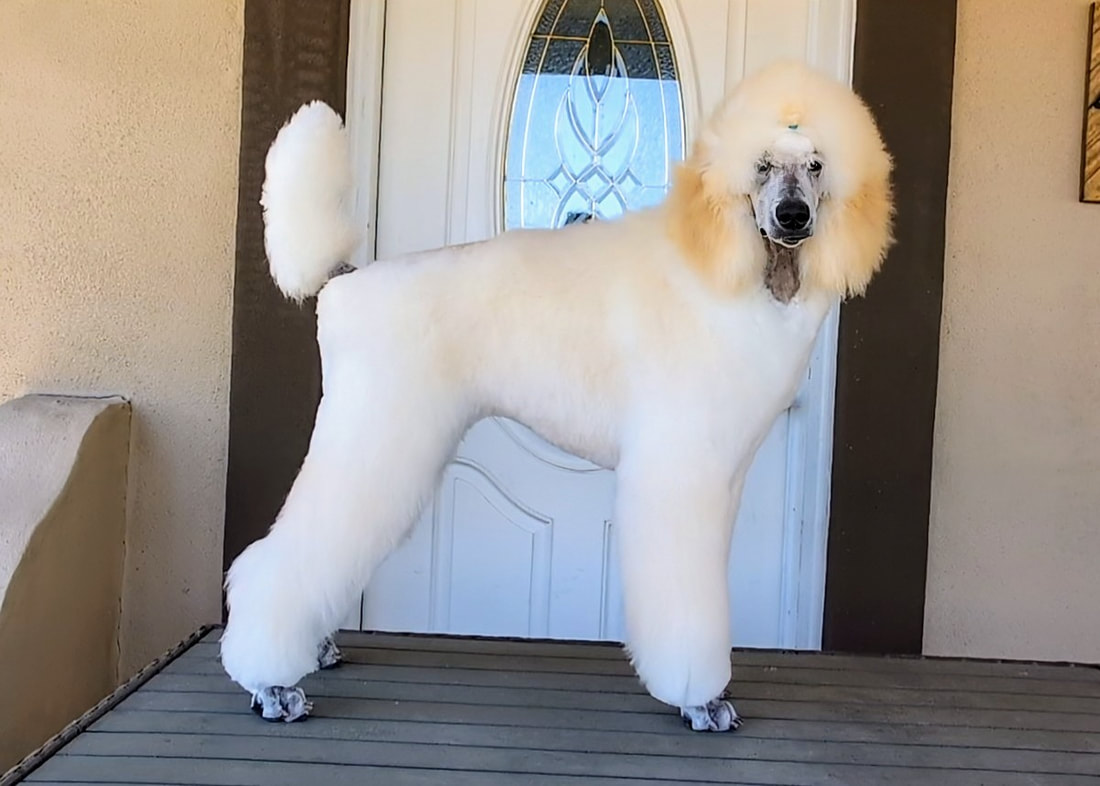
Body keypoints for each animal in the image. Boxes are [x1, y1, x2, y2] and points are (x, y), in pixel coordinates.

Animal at [219, 59, 894, 732]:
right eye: (761, 165)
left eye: (816, 166)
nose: (792, 217)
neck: (727, 266)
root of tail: (344, 281)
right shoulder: (678, 472)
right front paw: (698, 697)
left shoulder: (718, 478)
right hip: (376, 431)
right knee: (280, 561)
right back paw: (269, 682)